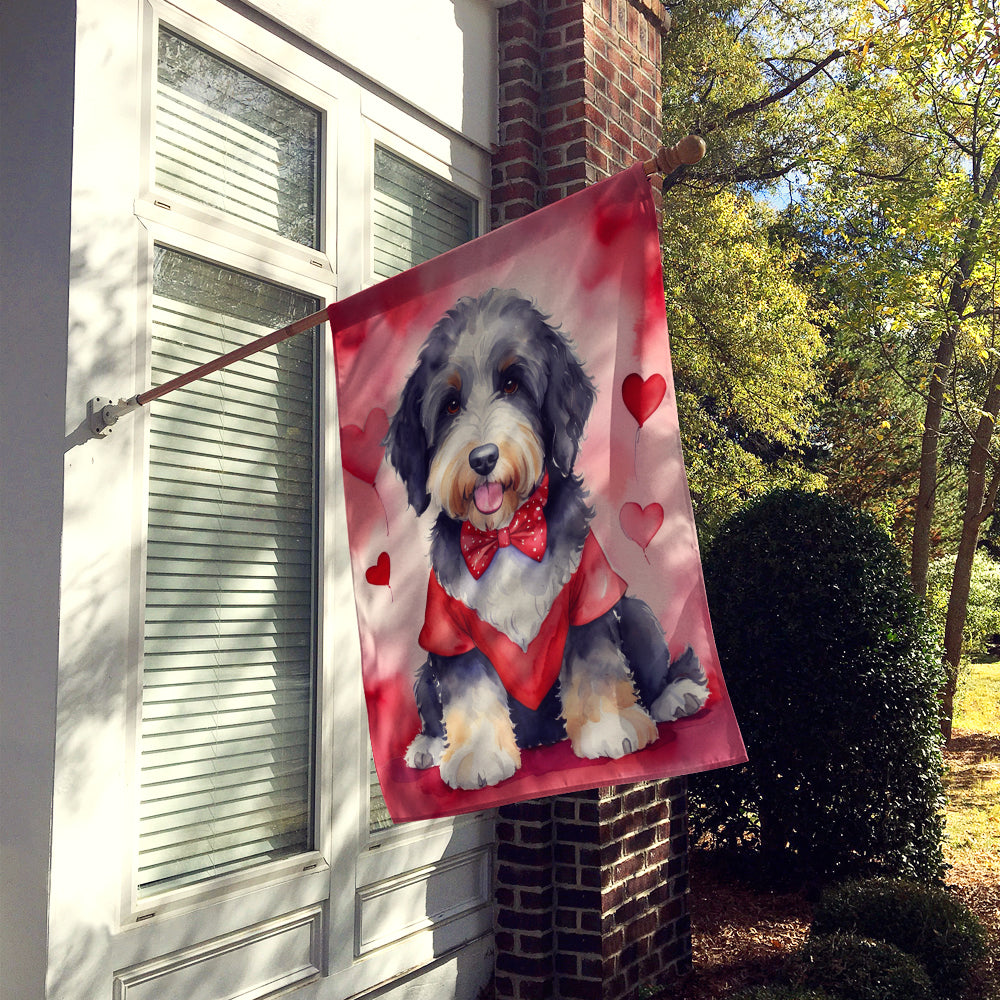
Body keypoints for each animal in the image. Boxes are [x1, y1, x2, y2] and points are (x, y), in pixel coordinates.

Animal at [384, 290, 712, 788]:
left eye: (513, 383)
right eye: (451, 405)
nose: (482, 458)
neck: (505, 534)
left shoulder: (588, 599)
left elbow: (597, 666)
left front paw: (608, 729)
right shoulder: (450, 634)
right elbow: (470, 692)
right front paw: (479, 756)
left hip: (636, 612)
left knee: (657, 666)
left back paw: (677, 694)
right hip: (423, 671)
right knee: (431, 706)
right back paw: (428, 746)